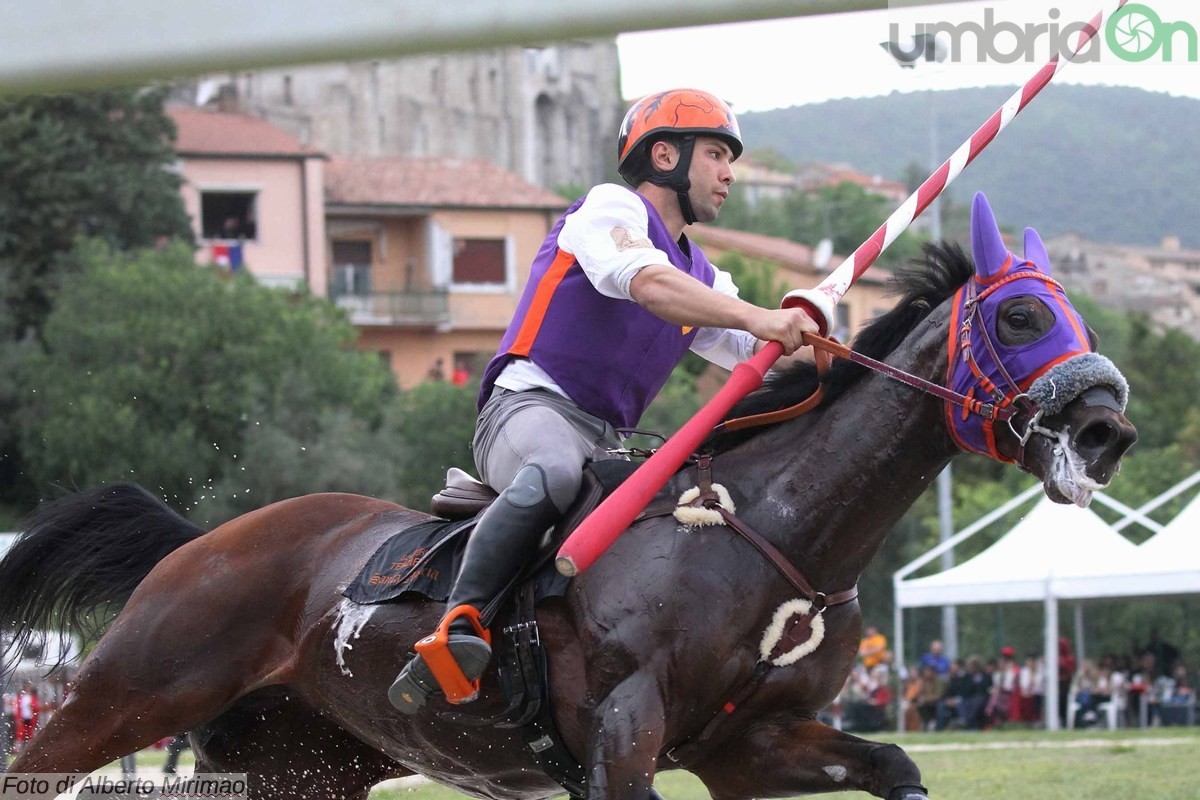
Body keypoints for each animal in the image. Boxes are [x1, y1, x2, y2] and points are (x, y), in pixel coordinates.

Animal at [0, 215, 1132, 796]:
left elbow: (892, 759)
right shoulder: (626, 731)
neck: (768, 531)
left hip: (302, 765)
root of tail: (204, 541)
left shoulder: (749, 747)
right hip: (128, 694)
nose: (1109, 427)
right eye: (1021, 316)